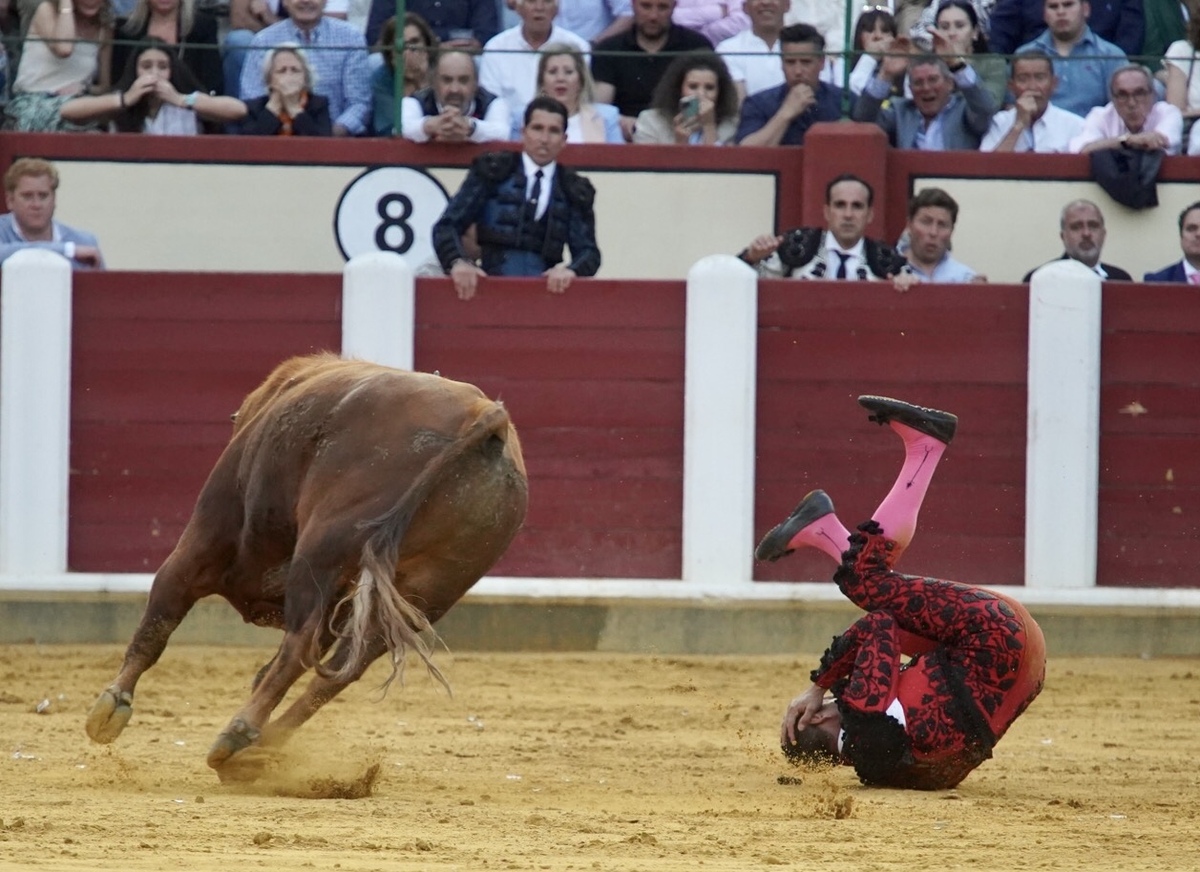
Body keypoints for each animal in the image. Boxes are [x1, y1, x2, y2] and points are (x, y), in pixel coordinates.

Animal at [87, 352, 528, 777]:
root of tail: (483, 414)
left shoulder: (202, 542)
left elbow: (158, 620)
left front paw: (109, 708)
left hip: (320, 551)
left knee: (300, 646)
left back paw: (238, 735)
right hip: (431, 589)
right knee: (343, 669)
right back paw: (257, 748)